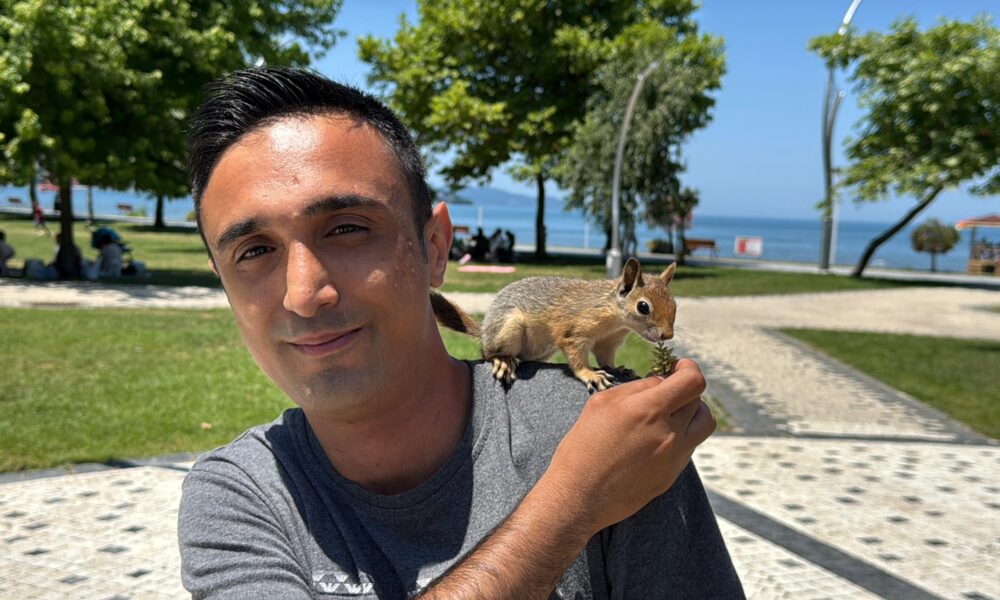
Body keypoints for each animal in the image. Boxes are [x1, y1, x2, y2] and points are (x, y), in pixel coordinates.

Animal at [431, 257, 677, 392]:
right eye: (643, 307)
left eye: (674, 303)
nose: (667, 335)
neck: (615, 320)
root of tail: (483, 331)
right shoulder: (574, 331)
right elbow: (577, 357)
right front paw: (590, 374)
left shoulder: (608, 342)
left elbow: (605, 358)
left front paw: (618, 368)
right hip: (507, 328)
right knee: (487, 352)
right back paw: (502, 360)